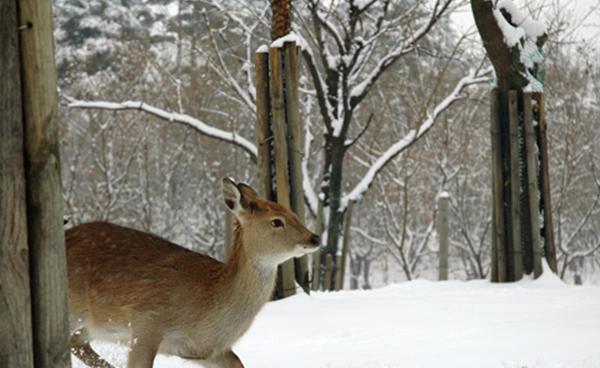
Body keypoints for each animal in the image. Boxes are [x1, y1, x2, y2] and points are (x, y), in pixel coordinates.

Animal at [66, 177, 322, 366]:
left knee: (77, 344)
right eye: (276, 221)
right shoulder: (146, 322)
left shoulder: (206, 350)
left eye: (292, 212)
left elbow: (239, 363)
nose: (315, 237)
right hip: (73, 309)